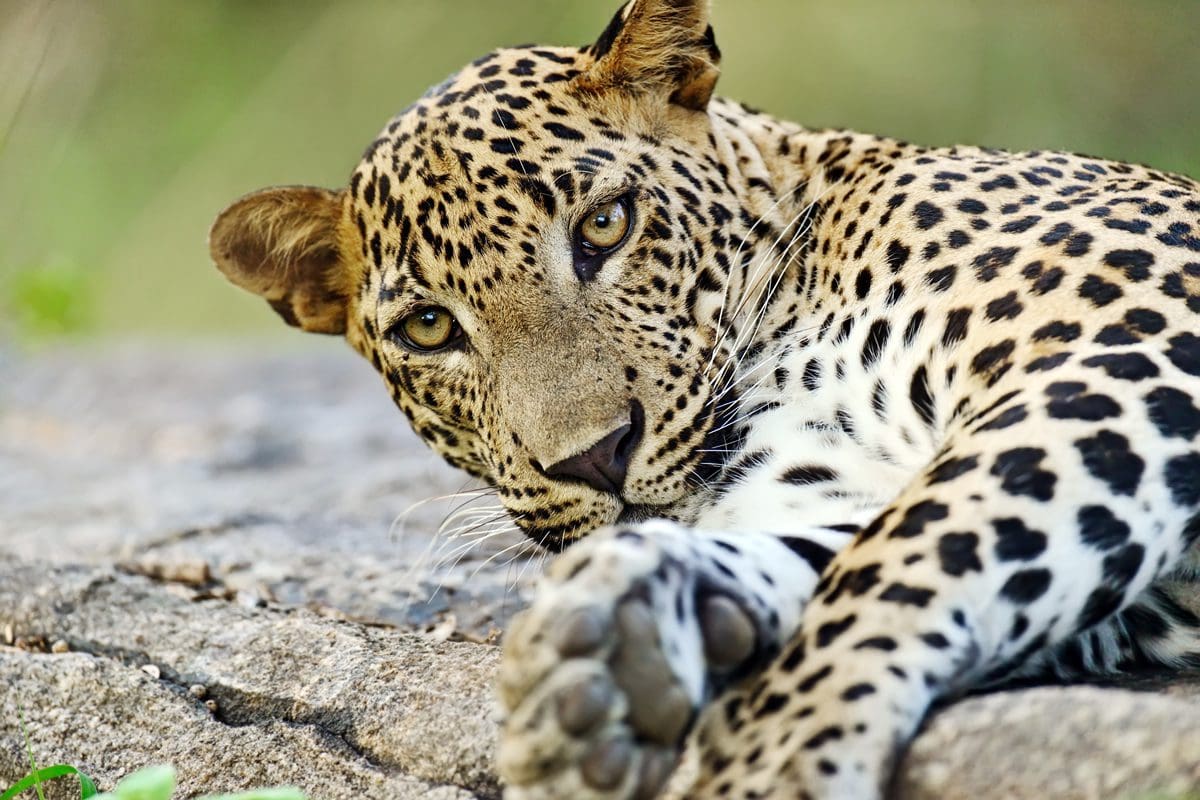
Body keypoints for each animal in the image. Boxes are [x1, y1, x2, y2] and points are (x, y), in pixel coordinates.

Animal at [208, 1, 1200, 797]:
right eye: (427, 328)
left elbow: (910, 549)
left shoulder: (1123, 339)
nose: (595, 456)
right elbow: (850, 546)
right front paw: (620, 646)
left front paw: (771, 760)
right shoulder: (837, 487)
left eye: (606, 225)